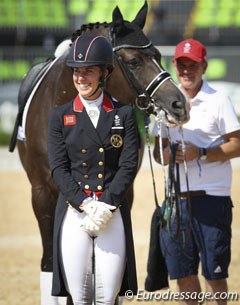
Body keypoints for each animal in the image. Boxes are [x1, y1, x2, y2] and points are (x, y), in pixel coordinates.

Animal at [8, 1, 188, 302]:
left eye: (158, 56)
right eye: (134, 61)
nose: (179, 104)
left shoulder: (124, 193)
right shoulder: (41, 193)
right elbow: (51, 267)